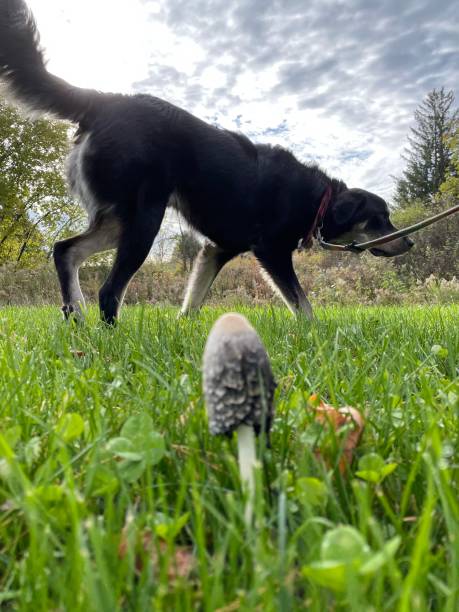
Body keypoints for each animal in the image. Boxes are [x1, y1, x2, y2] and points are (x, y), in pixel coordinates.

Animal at [0, 0, 414, 322]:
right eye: (379, 219)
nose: (409, 242)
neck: (318, 198)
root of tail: (103, 101)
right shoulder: (271, 251)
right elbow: (303, 306)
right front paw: (314, 336)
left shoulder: (215, 250)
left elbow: (192, 303)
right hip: (143, 220)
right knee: (108, 290)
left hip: (120, 218)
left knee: (65, 251)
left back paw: (76, 318)